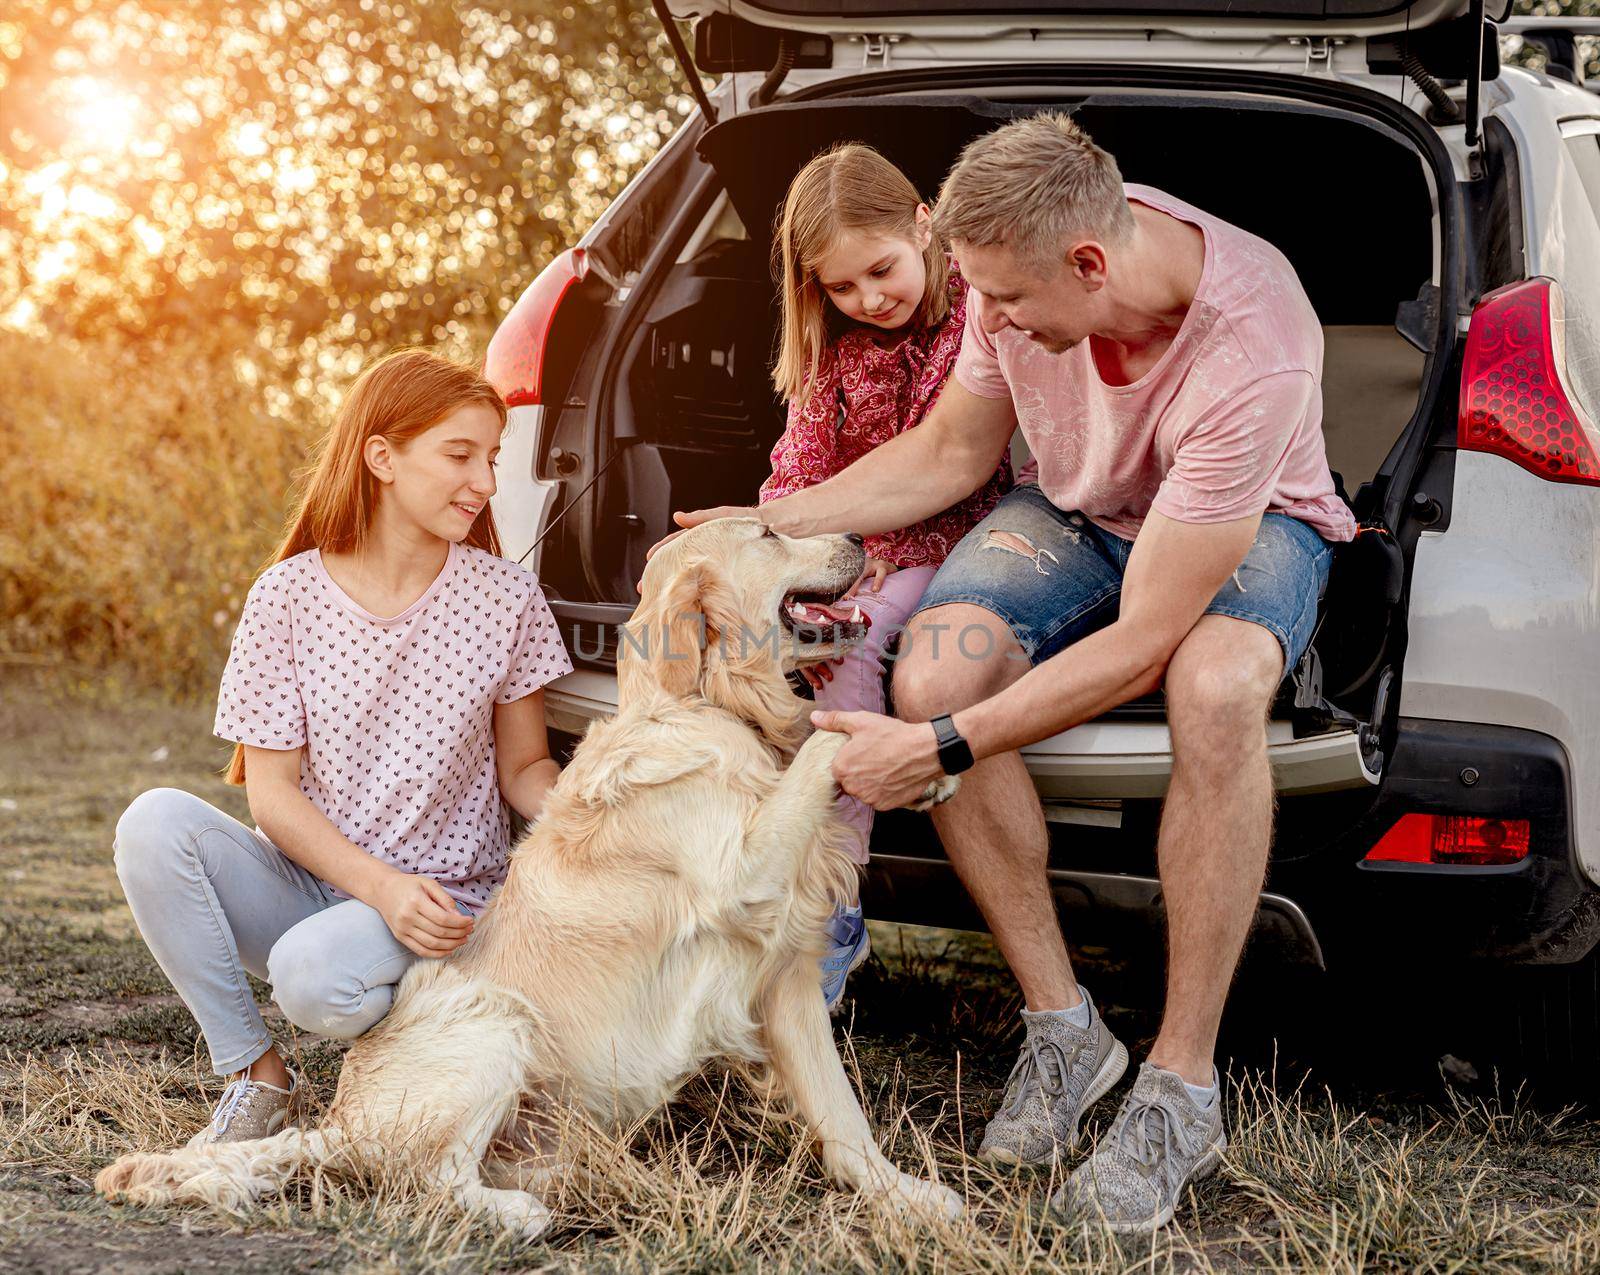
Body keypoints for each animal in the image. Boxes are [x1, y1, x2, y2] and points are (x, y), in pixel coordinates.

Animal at [93, 515, 960, 1235]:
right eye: (771, 532)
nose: (861, 535)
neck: (702, 707)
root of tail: (343, 1123)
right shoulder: (742, 874)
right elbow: (821, 747)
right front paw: (894, 742)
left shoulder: (784, 976)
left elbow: (844, 1119)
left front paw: (909, 1196)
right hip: (496, 1021)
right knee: (429, 1178)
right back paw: (519, 1213)